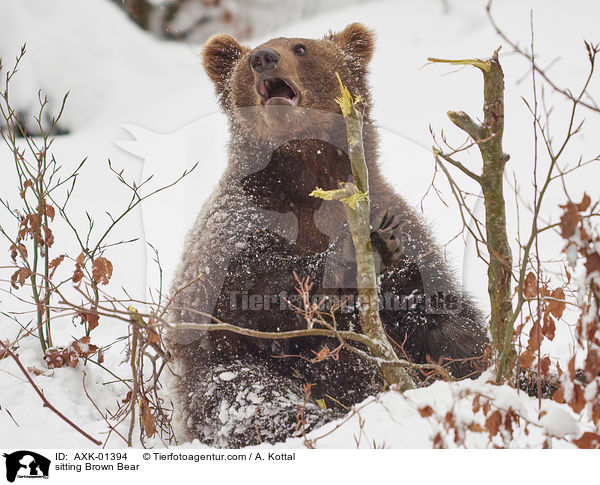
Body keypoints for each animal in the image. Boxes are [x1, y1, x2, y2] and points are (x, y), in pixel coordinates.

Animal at [168, 22, 488, 446]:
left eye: (300, 48)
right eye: (249, 55)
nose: (263, 58)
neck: (308, 176)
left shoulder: (395, 217)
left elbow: (428, 302)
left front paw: (380, 247)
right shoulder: (235, 229)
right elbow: (252, 289)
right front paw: (352, 253)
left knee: (460, 337)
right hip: (224, 373)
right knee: (250, 401)